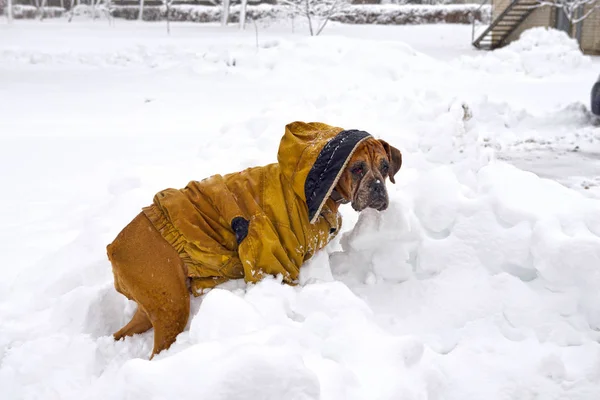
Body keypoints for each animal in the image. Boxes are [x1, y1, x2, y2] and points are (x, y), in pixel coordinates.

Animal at [107, 122, 400, 360]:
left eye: (385, 167)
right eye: (357, 168)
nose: (377, 187)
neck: (315, 191)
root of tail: (114, 248)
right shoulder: (276, 261)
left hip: (151, 309)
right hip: (172, 307)